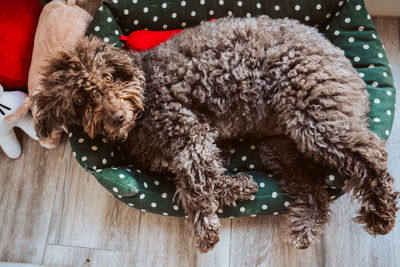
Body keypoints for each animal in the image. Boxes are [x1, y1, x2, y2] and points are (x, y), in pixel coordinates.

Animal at [31, 16, 396, 253]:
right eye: (81, 100)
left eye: (108, 78)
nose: (116, 116)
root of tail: (343, 60)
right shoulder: (184, 152)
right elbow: (203, 179)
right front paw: (240, 187)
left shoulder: (189, 132)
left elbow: (195, 183)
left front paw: (205, 230)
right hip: (280, 148)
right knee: (314, 187)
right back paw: (306, 224)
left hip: (314, 118)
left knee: (371, 154)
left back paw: (380, 214)